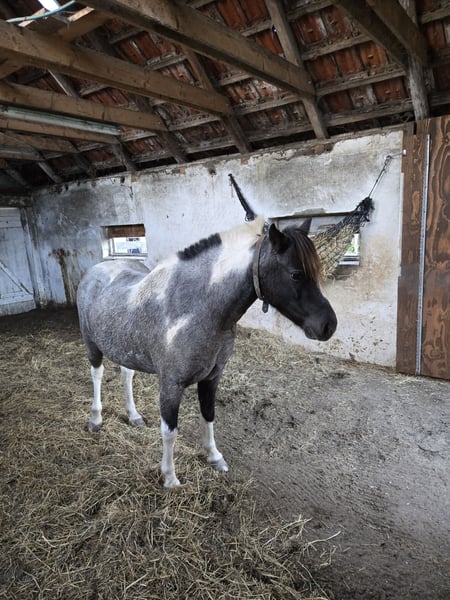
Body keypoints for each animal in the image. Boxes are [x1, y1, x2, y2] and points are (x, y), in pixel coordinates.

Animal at [76, 216, 337, 487]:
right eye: (296, 275)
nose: (329, 325)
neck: (197, 309)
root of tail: (97, 270)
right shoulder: (170, 384)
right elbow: (169, 430)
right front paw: (170, 478)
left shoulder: (212, 377)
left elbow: (209, 415)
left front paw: (214, 457)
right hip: (92, 344)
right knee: (97, 374)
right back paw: (95, 419)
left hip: (125, 347)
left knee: (126, 374)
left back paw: (133, 416)